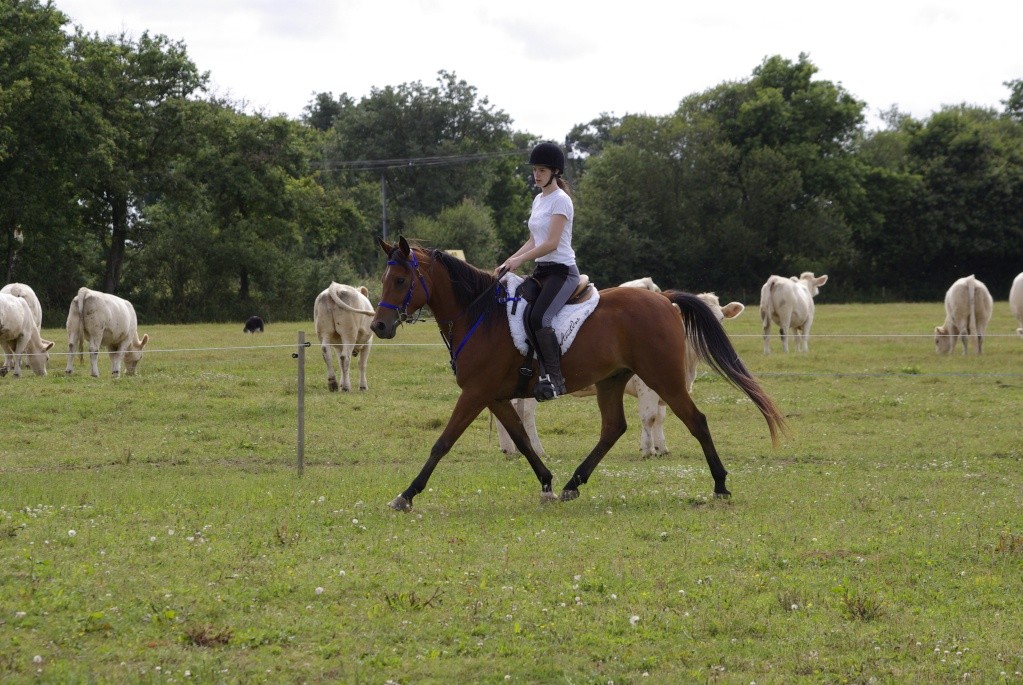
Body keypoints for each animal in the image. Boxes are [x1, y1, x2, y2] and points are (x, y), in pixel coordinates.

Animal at [372, 236, 785, 509]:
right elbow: (521, 439)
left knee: (696, 420)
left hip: (663, 378)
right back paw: (574, 482)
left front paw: (407, 494)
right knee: (613, 427)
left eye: (400, 281)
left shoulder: (475, 393)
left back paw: (720, 485)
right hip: (612, 380)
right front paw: (548, 483)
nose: (379, 326)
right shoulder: (494, 396)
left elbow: (442, 442)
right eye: (384, 280)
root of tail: (664, 300)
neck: (479, 314)